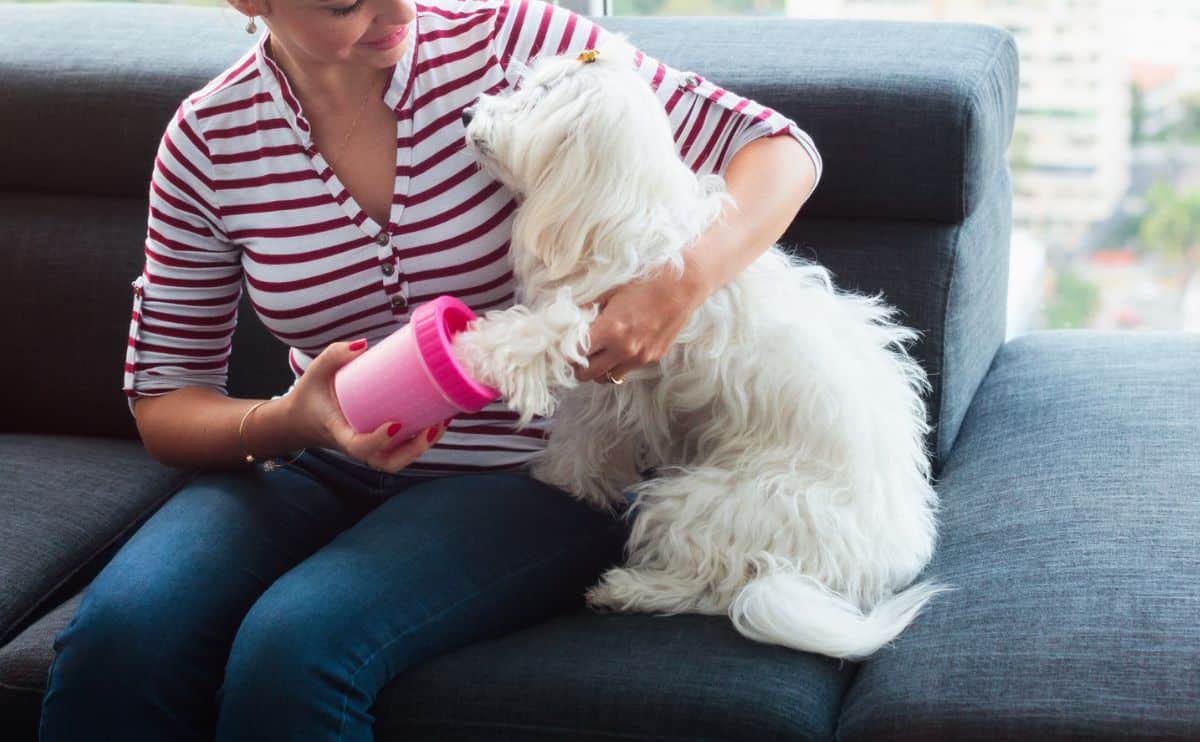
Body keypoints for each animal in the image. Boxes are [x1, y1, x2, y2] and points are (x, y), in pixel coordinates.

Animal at [451, 36, 945, 657]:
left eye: (540, 95)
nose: (468, 113)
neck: (617, 211)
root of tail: (871, 570)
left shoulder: (605, 346)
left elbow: (546, 344)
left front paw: (480, 352)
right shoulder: (606, 391)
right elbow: (582, 440)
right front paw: (563, 479)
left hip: (711, 502)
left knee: (718, 587)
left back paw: (628, 589)